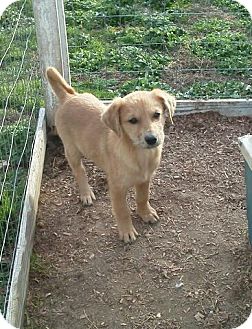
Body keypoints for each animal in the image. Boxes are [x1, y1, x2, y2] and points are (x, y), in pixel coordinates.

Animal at [45, 66, 175, 242]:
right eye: (132, 120)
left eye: (157, 114)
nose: (152, 139)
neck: (137, 153)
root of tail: (69, 97)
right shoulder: (116, 187)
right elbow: (122, 210)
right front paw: (127, 231)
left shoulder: (145, 179)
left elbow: (143, 197)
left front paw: (146, 214)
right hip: (71, 149)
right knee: (80, 171)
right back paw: (86, 194)